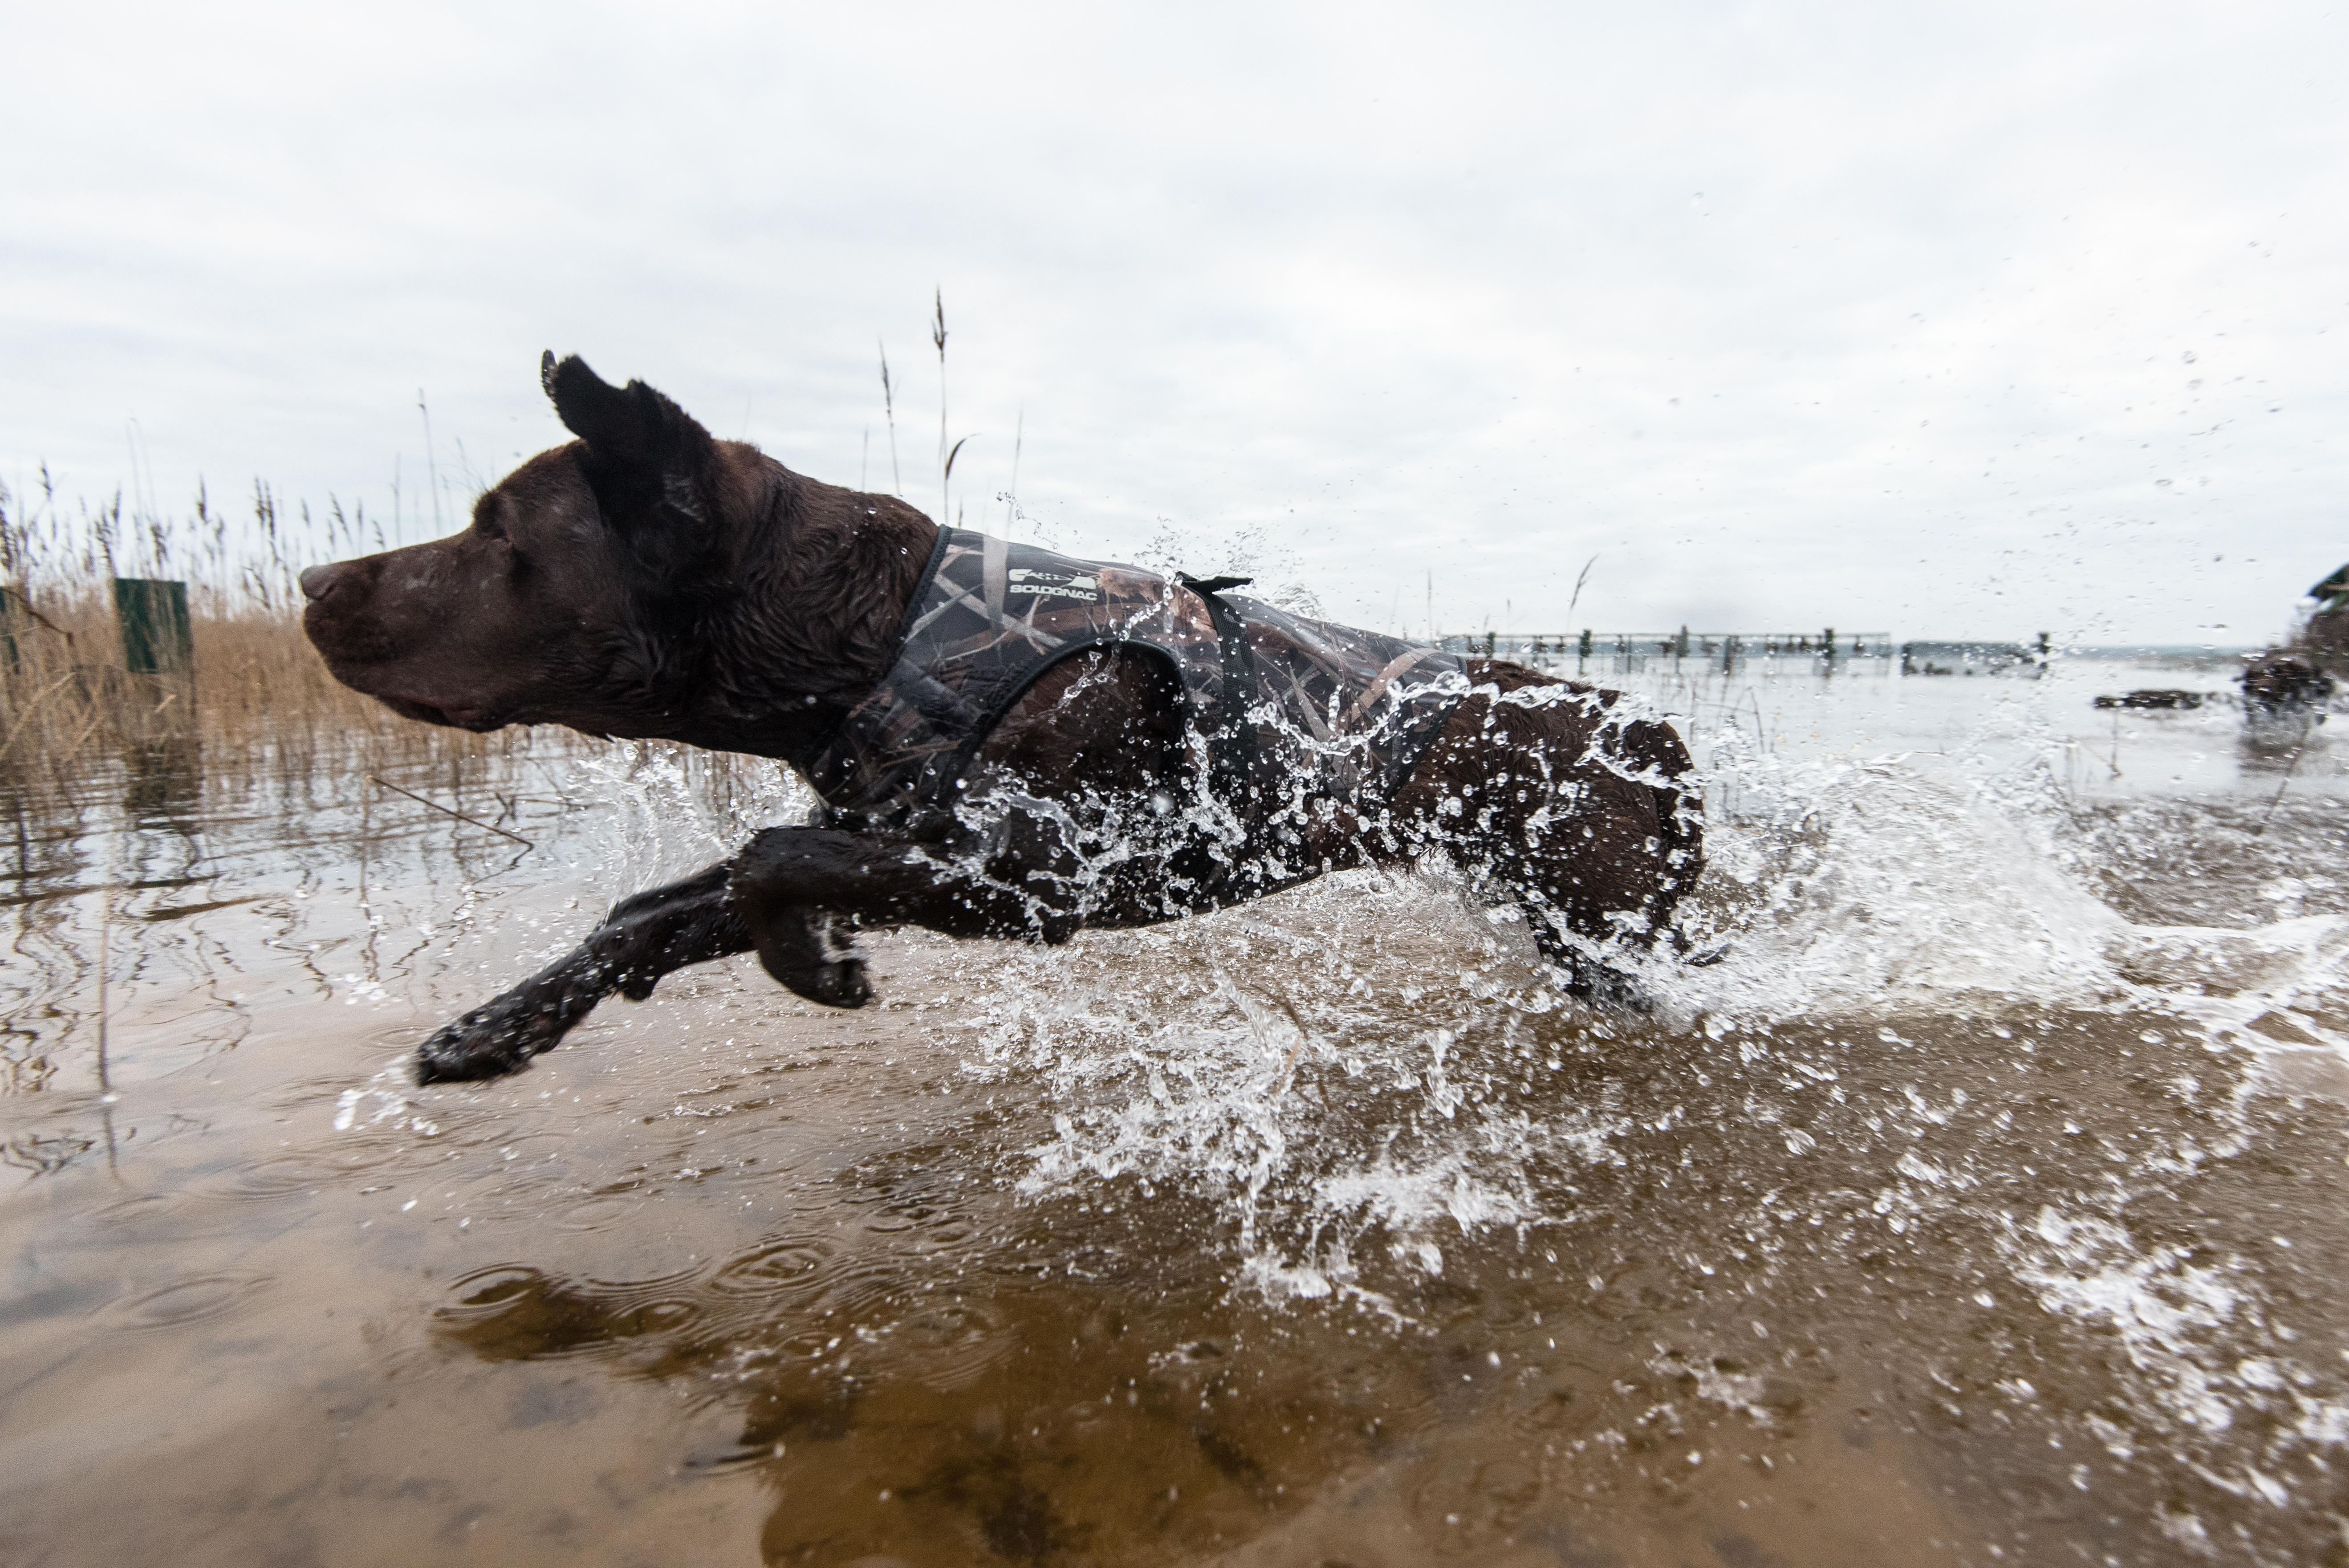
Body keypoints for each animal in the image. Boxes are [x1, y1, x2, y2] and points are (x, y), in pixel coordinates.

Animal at [303, 354, 1700, 1080]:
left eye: (500, 535)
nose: (313, 584)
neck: (883, 630)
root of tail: (1637, 722)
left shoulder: (1048, 870)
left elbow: (767, 860)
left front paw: (814, 967)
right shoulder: (898, 834)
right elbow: (653, 908)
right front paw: (498, 1025)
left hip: (1606, 925)